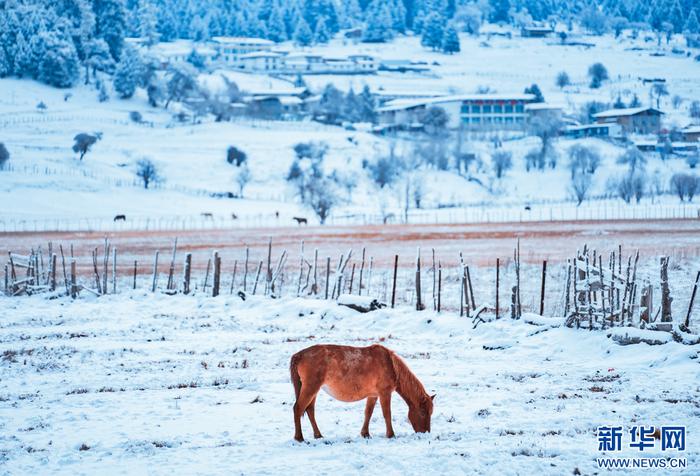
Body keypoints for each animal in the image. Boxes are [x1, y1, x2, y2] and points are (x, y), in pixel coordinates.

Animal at [288, 342, 432, 442]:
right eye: (423, 412)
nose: (426, 432)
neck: (390, 364)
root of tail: (299, 355)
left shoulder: (373, 395)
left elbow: (368, 413)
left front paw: (365, 433)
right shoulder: (384, 393)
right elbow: (387, 414)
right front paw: (391, 434)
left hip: (313, 390)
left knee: (310, 410)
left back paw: (318, 435)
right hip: (310, 388)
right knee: (298, 408)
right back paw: (299, 437)